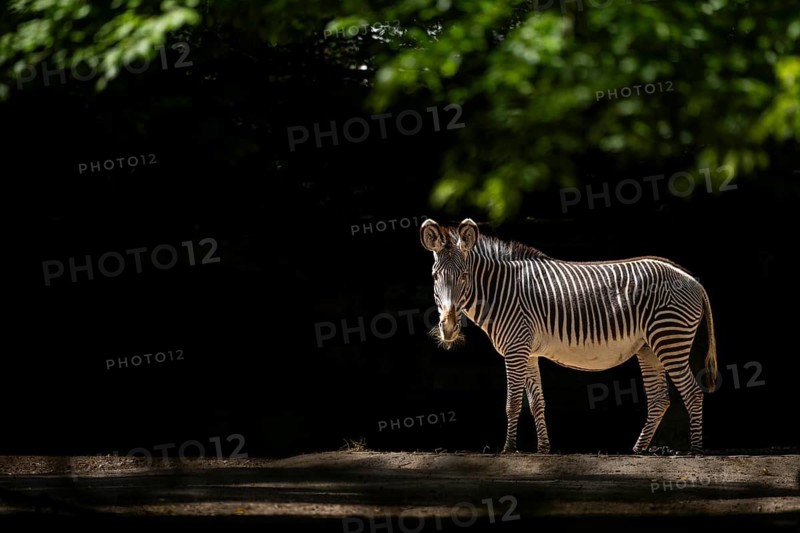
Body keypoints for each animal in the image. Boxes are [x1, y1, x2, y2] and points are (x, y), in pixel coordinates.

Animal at [420, 218, 718, 454]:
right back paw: (639, 449)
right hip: (649, 347)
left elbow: (513, 403)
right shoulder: (528, 351)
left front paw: (508, 449)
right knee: (659, 399)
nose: (448, 328)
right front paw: (543, 449)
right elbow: (536, 402)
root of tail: (693, 280)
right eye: (434, 277)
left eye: (464, 276)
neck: (500, 291)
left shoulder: (516, 349)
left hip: (670, 338)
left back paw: (695, 450)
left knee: (692, 392)